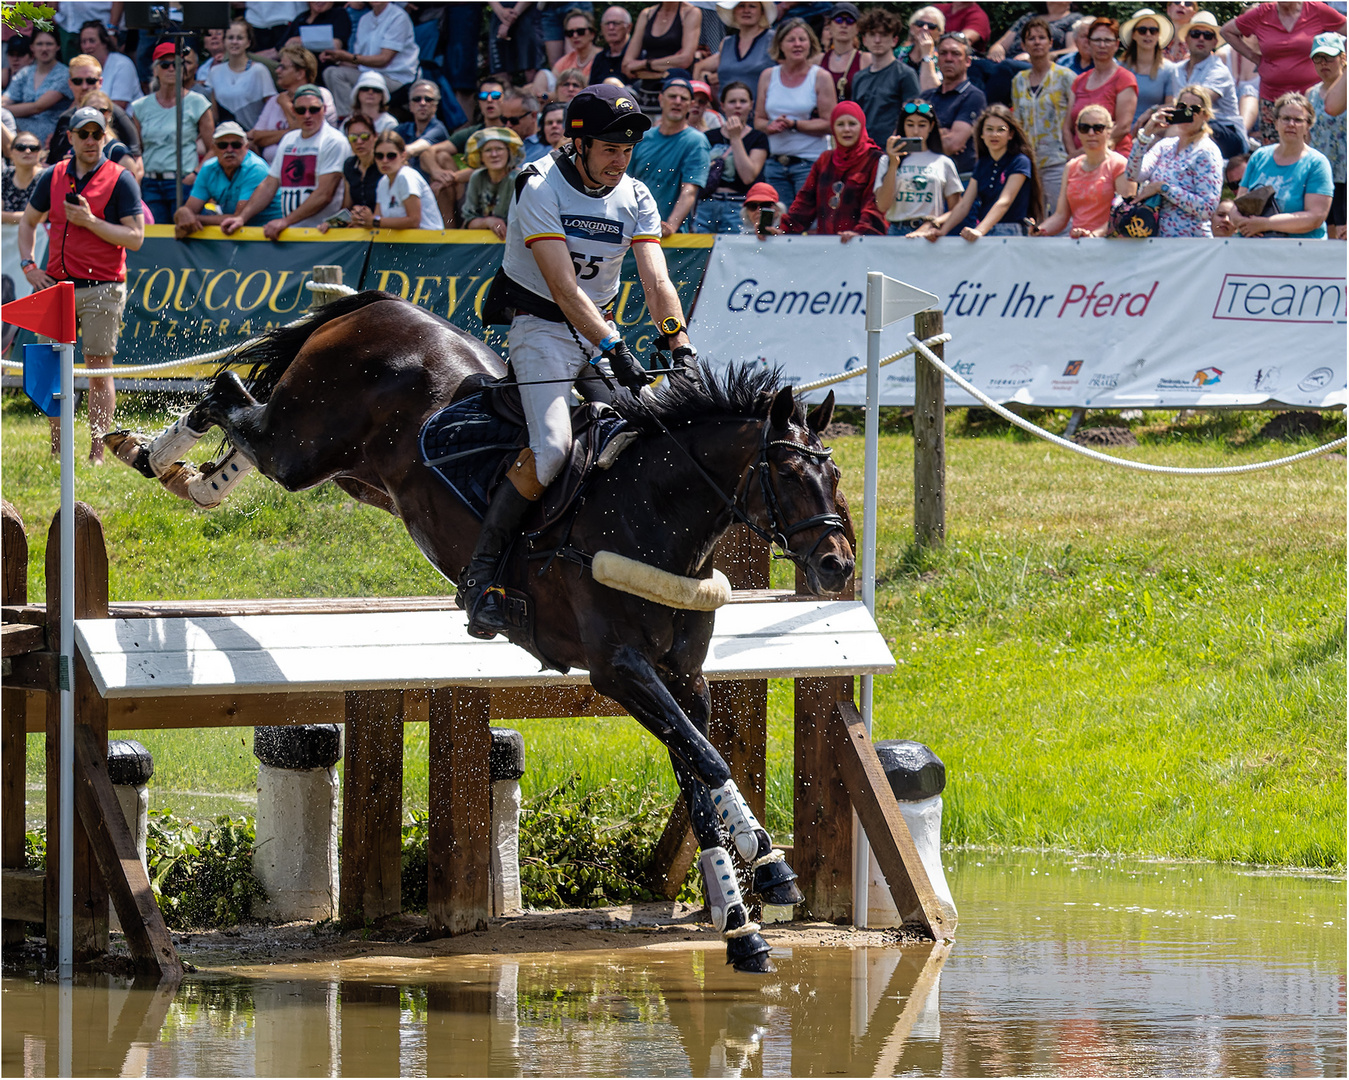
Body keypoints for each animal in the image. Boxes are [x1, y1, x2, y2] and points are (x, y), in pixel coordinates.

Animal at [110, 291, 857, 970]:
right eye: (788, 472)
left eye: (835, 473)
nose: (837, 564)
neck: (650, 513)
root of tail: (376, 304)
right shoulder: (620, 670)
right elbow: (709, 761)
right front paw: (766, 865)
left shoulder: (683, 678)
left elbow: (698, 773)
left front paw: (744, 918)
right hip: (304, 447)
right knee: (229, 395)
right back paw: (150, 455)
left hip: (350, 470)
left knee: (245, 416)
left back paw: (184, 474)